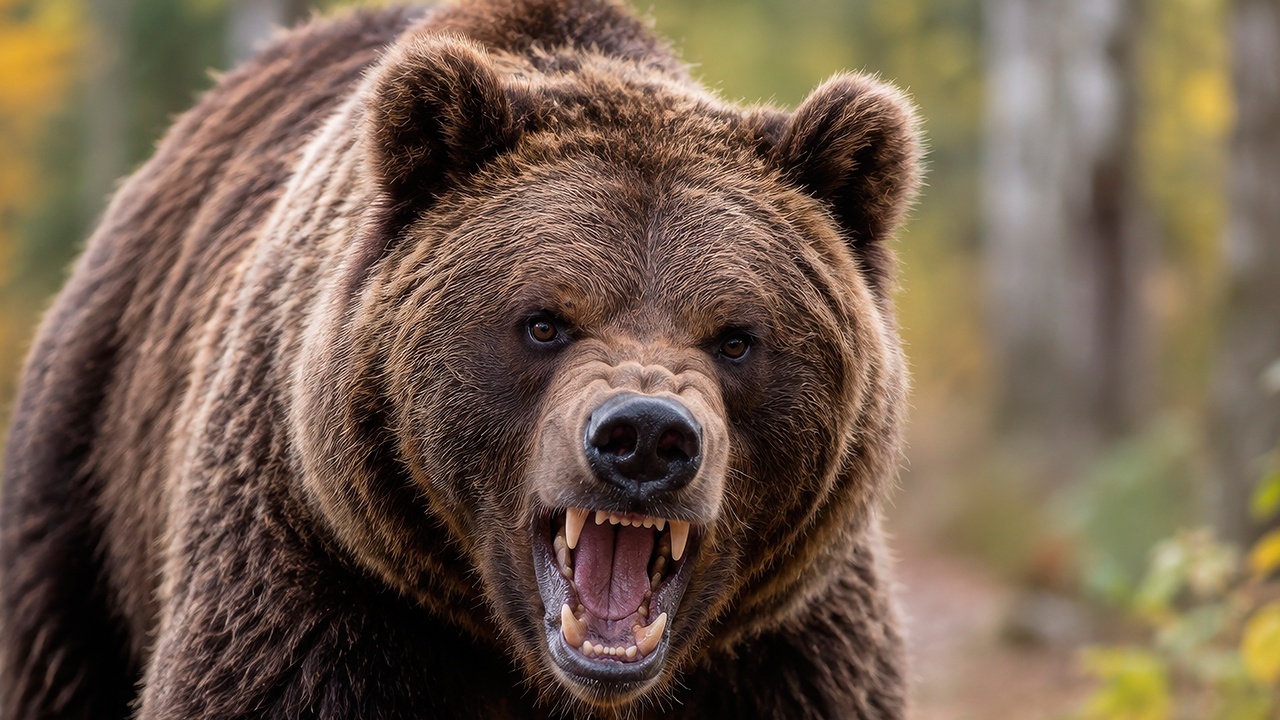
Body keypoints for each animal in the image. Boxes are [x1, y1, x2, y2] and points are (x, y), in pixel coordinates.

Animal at [0, 0, 922, 717]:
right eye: (544, 322)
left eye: (735, 336)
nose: (646, 439)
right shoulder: (320, 587)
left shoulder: (785, 654)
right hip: (82, 484)